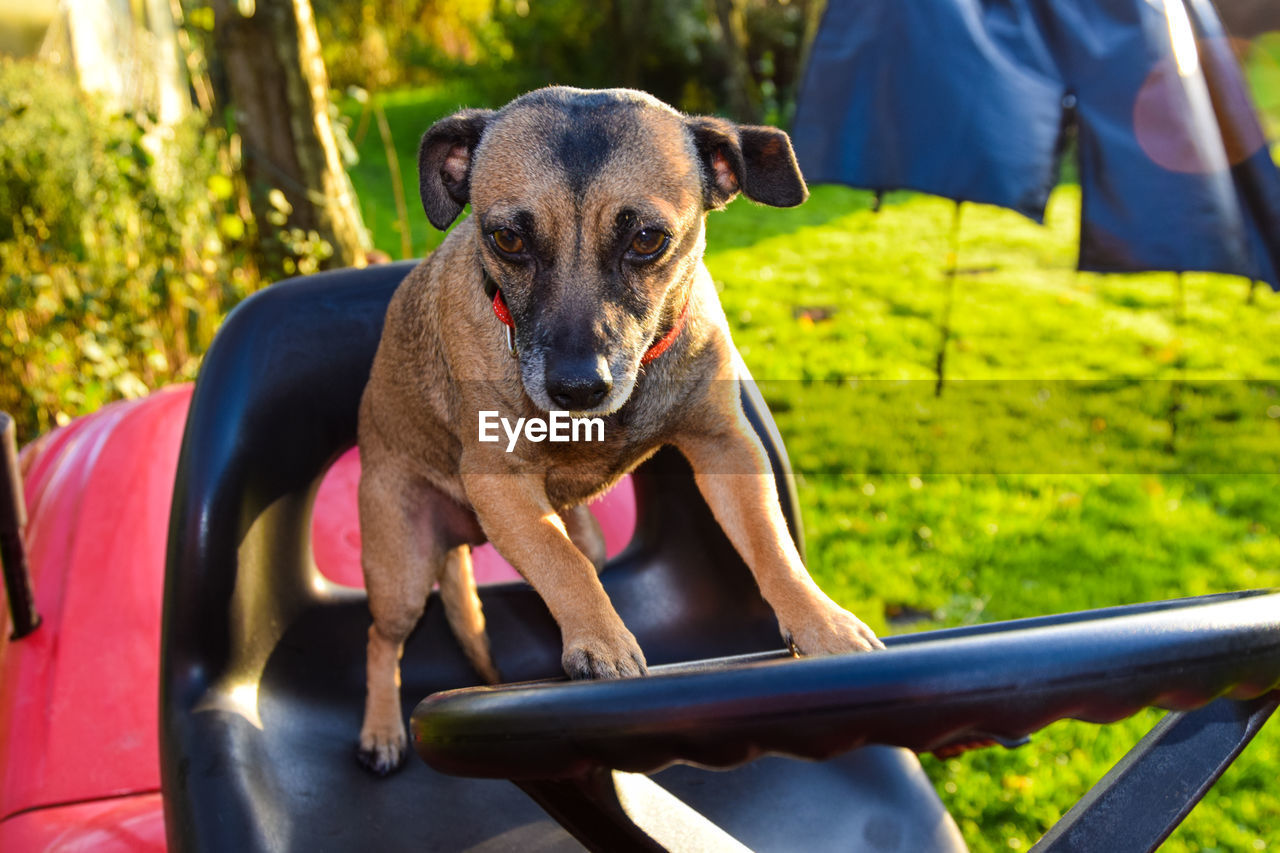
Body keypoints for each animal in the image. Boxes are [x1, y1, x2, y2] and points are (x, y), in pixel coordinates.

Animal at [355, 86, 885, 768]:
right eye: (507, 238)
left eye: (648, 240)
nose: (578, 387)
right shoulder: (500, 482)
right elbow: (561, 565)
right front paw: (601, 641)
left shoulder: (725, 447)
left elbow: (771, 545)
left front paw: (821, 622)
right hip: (401, 573)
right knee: (380, 642)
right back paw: (381, 729)